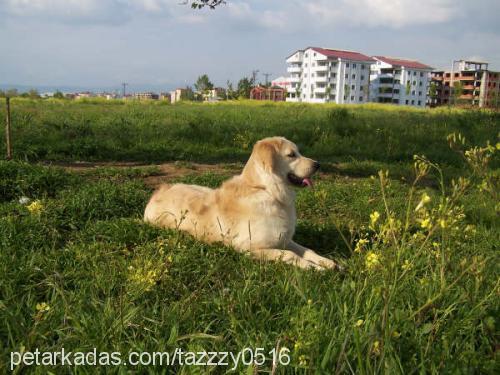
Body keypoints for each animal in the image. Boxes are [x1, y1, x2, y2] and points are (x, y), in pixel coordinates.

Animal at [144, 137, 340, 270]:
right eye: (291, 155)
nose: (318, 165)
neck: (266, 190)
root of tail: (159, 191)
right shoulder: (246, 247)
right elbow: (290, 255)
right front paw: (313, 267)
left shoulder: (284, 239)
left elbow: (308, 250)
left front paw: (327, 262)